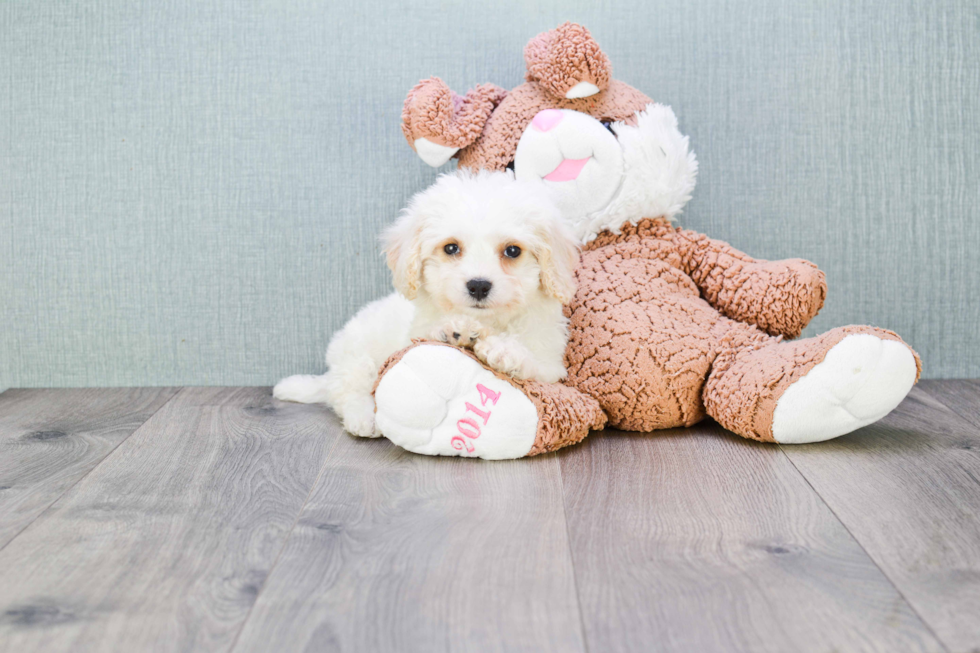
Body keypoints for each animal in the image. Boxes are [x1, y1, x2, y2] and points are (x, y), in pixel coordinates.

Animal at [272, 172, 580, 438]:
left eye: (513, 251)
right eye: (451, 248)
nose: (479, 285)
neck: (487, 322)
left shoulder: (552, 364)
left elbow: (535, 362)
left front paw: (504, 350)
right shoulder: (413, 334)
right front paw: (452, 331)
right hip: (355, 354)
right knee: (347, 392)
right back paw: (364, 417)